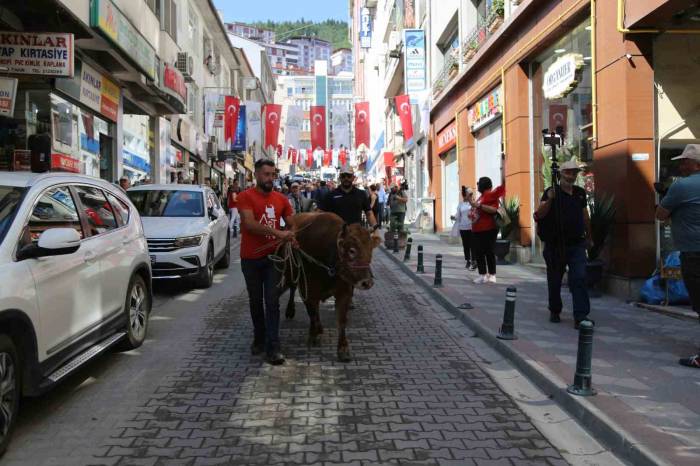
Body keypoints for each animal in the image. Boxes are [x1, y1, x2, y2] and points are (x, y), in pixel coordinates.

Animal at [278, 213, 380, 362]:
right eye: (352, 250)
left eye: (371, 250)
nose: (367, 282)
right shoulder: (307, 290)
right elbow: (312, 313)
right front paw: (314, 335)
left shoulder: (344, 292)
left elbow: (341, 320)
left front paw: (343, 349)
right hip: (291, 273)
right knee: (292, 288)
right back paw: (290, 311)